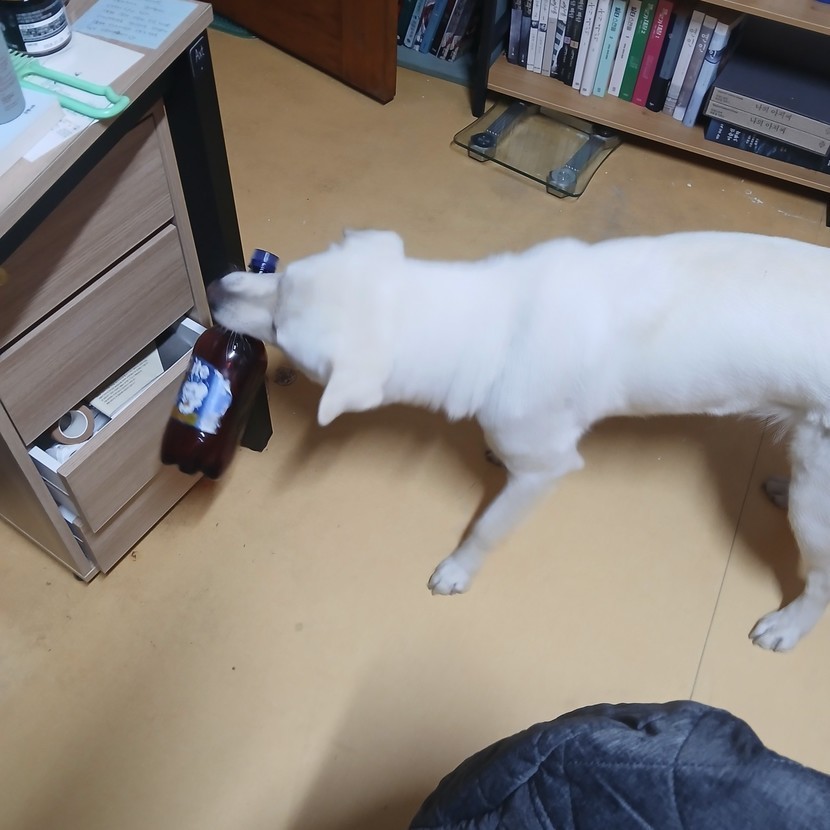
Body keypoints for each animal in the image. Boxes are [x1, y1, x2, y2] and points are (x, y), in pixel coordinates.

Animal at [210, 228, 830, 652]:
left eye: (280, 330)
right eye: (284, 275)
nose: (214, 287)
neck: (490, 319)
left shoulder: (545, 467)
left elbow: (487, 526)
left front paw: (458, 569)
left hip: (815, 505)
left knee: (820, 583)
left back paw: (787, 626)